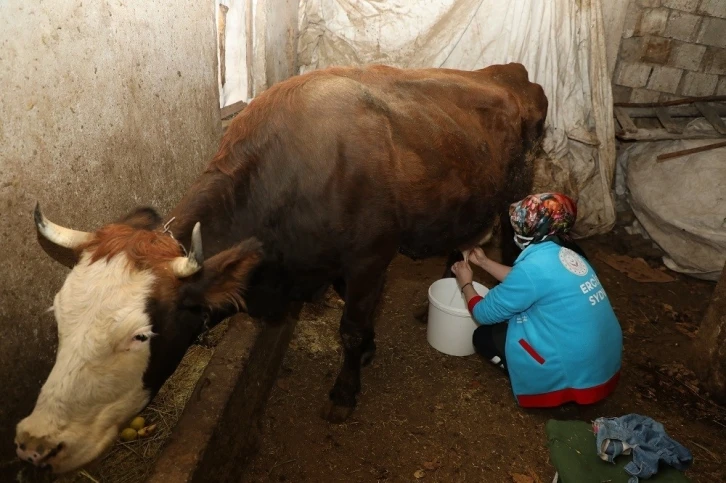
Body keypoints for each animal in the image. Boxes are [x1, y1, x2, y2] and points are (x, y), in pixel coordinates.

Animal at [14, 62, 548, 474]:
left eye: (140, 335)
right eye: (60, 318)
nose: (36, 443)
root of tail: (509, 72)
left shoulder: (371, 256)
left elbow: (351, 327)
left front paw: (344, 392)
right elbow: (359, 316)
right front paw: (369, 352)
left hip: (515, 192)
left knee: (506, 243)